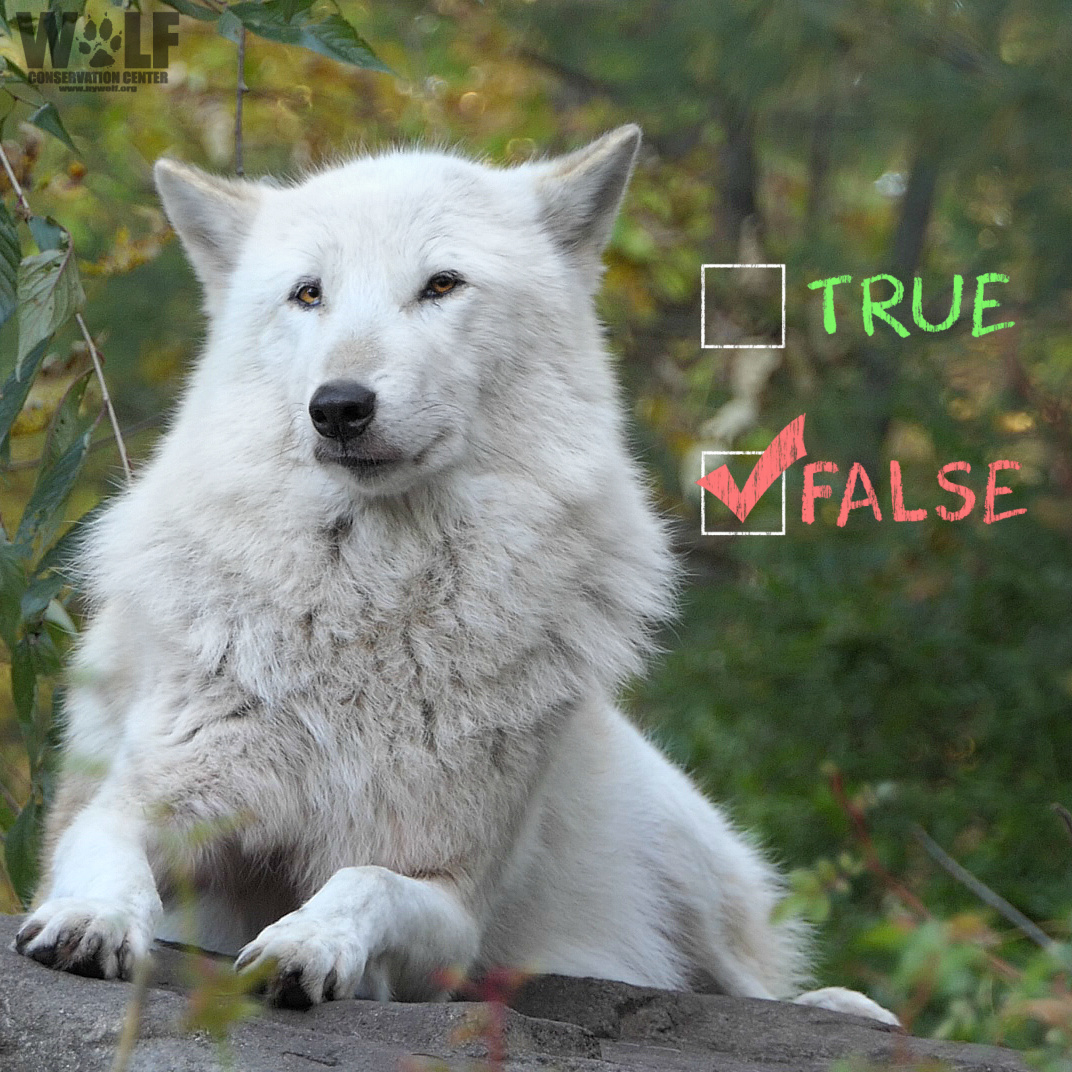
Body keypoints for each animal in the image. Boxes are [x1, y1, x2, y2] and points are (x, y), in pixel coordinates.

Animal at [13, 126, 894, 1022]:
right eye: (308, 294)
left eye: (441, 284)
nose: (338, 407)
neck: (368, 610)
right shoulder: (133, 806)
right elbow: (105, 853)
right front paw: (90, 922)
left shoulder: (450, 903)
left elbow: (362, 881)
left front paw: (307, 944)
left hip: (681, 854)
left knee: (751, 983)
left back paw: (840, 1007)